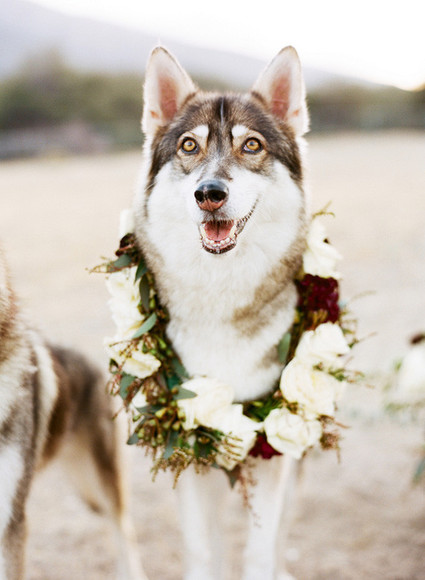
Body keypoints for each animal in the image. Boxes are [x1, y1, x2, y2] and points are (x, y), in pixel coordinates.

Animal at [134, 45, 309, 579]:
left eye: (251, 145)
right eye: (189, 146)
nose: (209, 193)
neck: (221, 291)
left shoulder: (273, 450)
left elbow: (260, 547)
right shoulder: (190, 439)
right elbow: (202, 548)